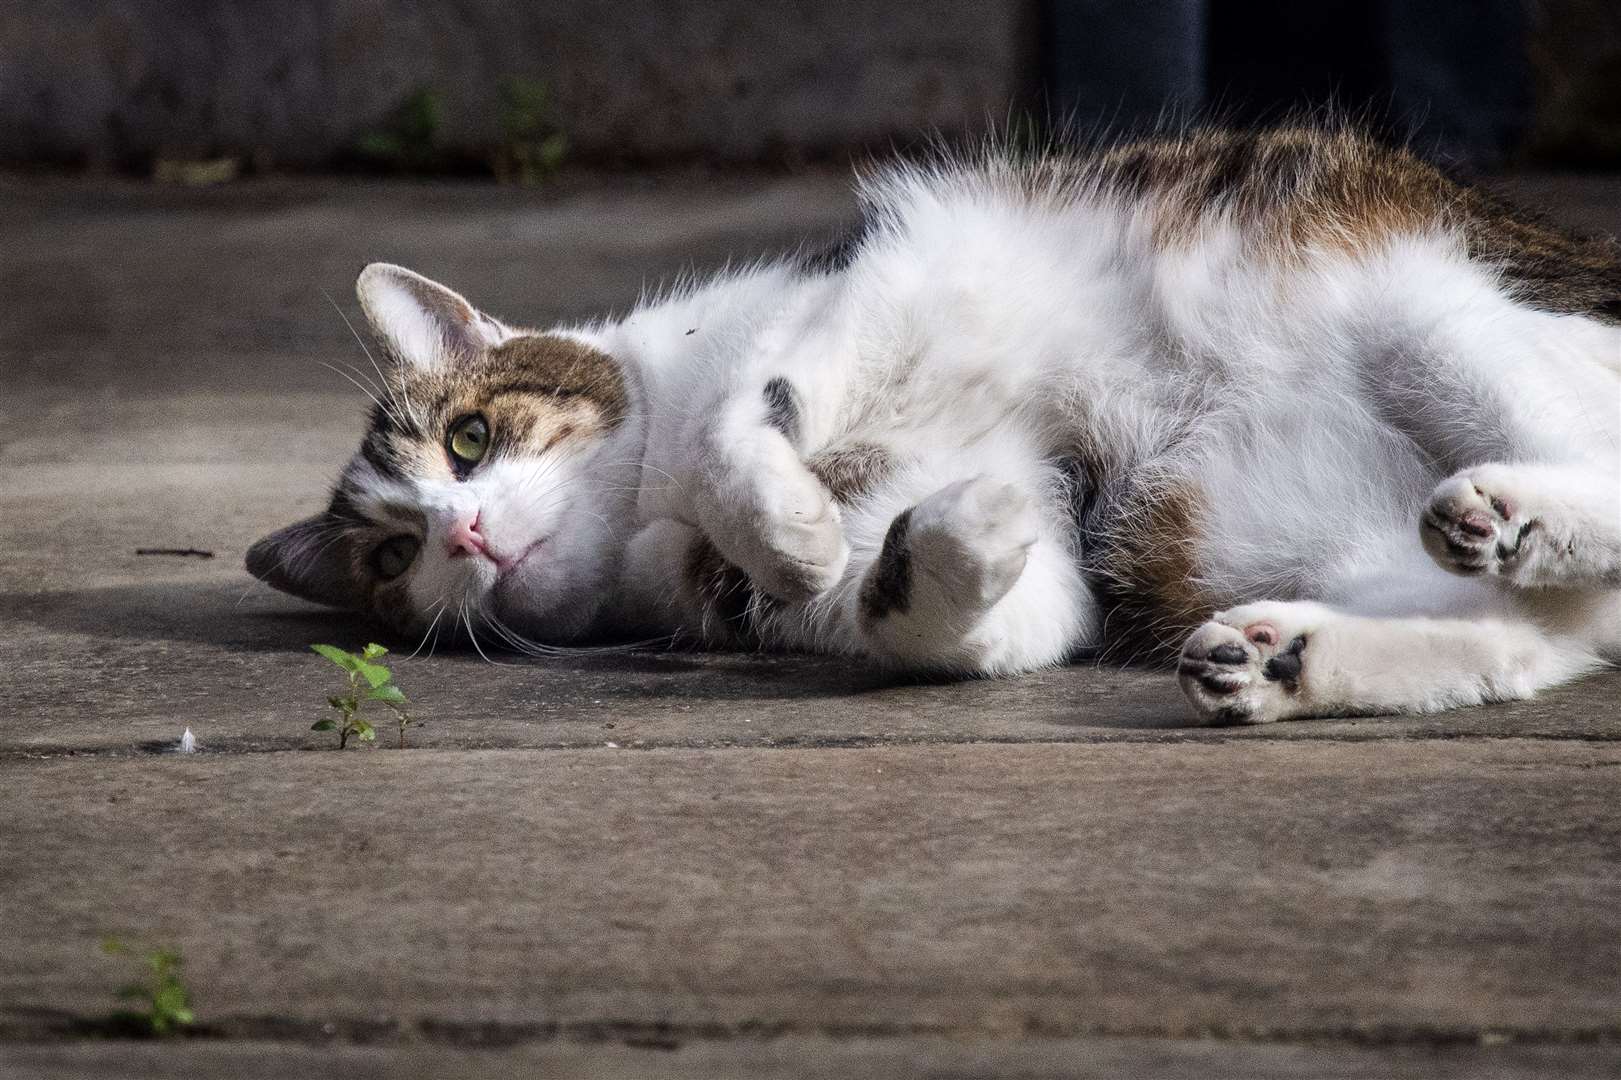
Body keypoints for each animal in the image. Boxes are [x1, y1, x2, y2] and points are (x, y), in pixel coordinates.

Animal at [243, 128, 1621, 723]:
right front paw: (968, 536)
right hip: (1219, 531)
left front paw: (787, 524)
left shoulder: (860, 298)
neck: (648, 513)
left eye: (469, 440)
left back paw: (1518, 508)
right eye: (391, 557)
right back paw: (1281, 657)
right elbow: (942, 611)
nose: (463, 536)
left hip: (1405, 296)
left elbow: (741, 428)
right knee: (1537, 631)